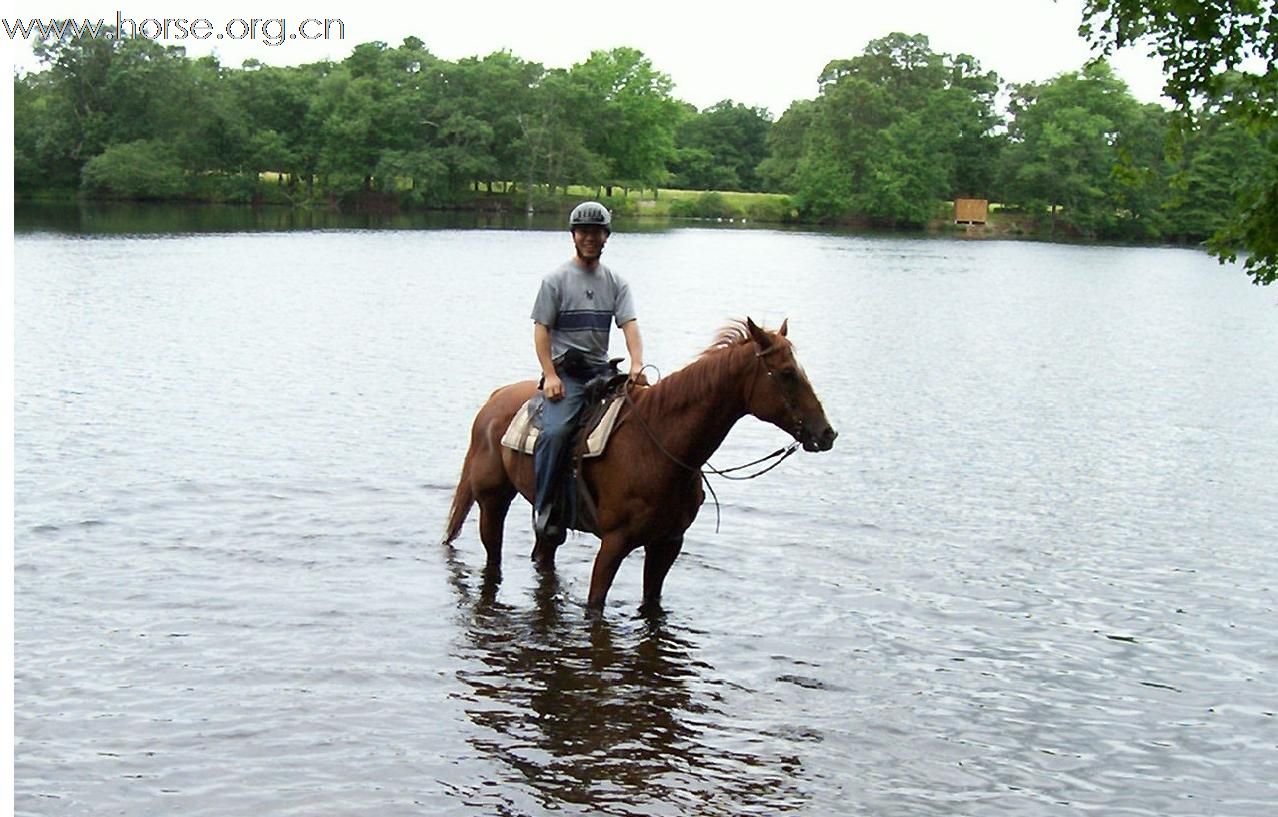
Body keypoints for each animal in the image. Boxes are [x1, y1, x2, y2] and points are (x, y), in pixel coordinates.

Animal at [442, 319, 838, 613]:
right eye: (786, 373)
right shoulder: (614, 543)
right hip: (492, 501)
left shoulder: (668, 543)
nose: (826, 433)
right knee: (493, 557)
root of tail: (493, 402)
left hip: (549, 521)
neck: (660, 446)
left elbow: (651, 603)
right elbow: (596, 605)